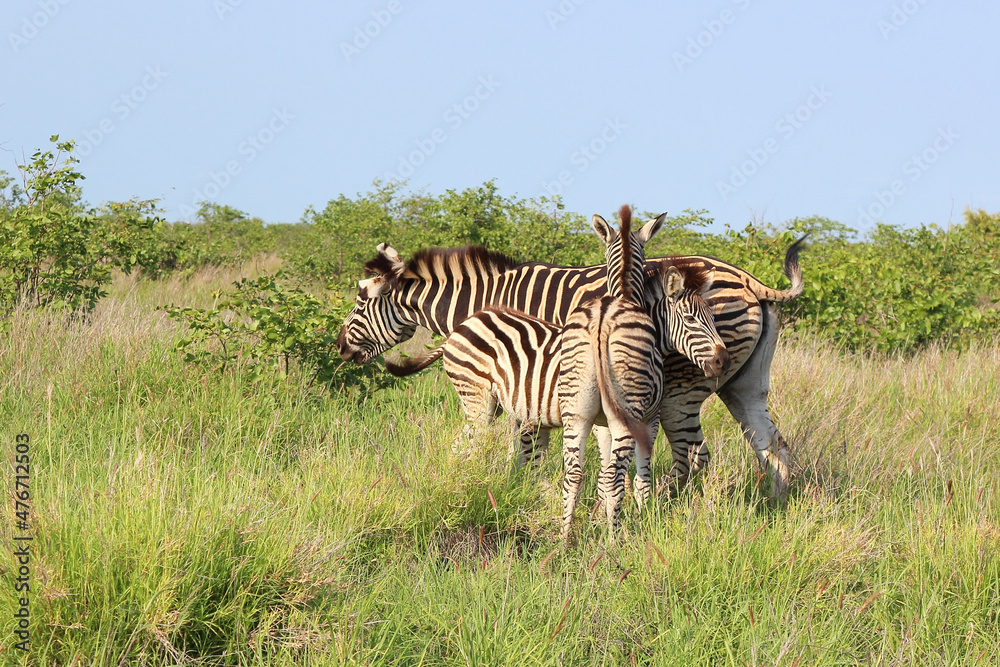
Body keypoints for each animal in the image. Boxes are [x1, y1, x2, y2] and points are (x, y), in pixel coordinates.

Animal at [338, 226, 804, 500]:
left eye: (360, 301)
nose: (340, 347)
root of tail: (749, 279)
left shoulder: (525, 372)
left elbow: (526, 448)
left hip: (684, 388)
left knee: (695, 455)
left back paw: (666, 505)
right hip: (744, 386)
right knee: (773, 447)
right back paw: (779, 507)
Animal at [383, 207, 727, 539]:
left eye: (712, 317)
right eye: (692, 319)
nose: (721, 360)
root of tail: (461, 327)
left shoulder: (599, 422)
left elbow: (602, 473)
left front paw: (603, 519)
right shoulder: (645, 418)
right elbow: (637, 476)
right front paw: (639, 521)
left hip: (501, 407)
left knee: (477, 452)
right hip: (484, 402)